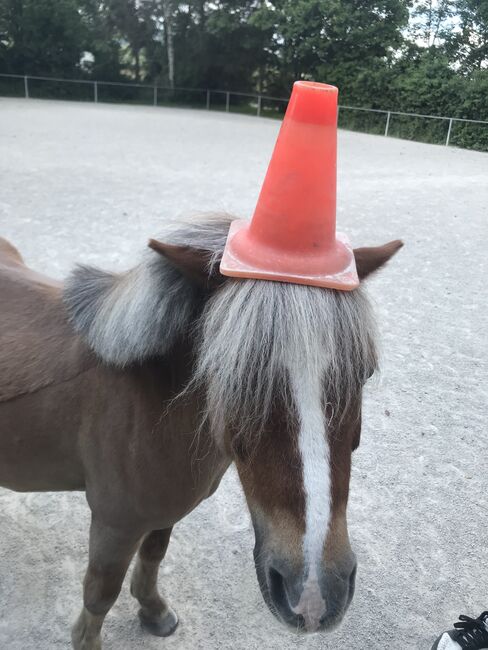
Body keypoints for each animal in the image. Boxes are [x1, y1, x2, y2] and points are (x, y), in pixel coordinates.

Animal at [0, 216, 400, 648]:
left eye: (364, 373)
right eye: (233, 377)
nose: (314, 594)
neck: (148, 401)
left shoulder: (163, 514)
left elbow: (153, 556)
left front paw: (153, 611)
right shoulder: (114, 523)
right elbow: (101, 593)